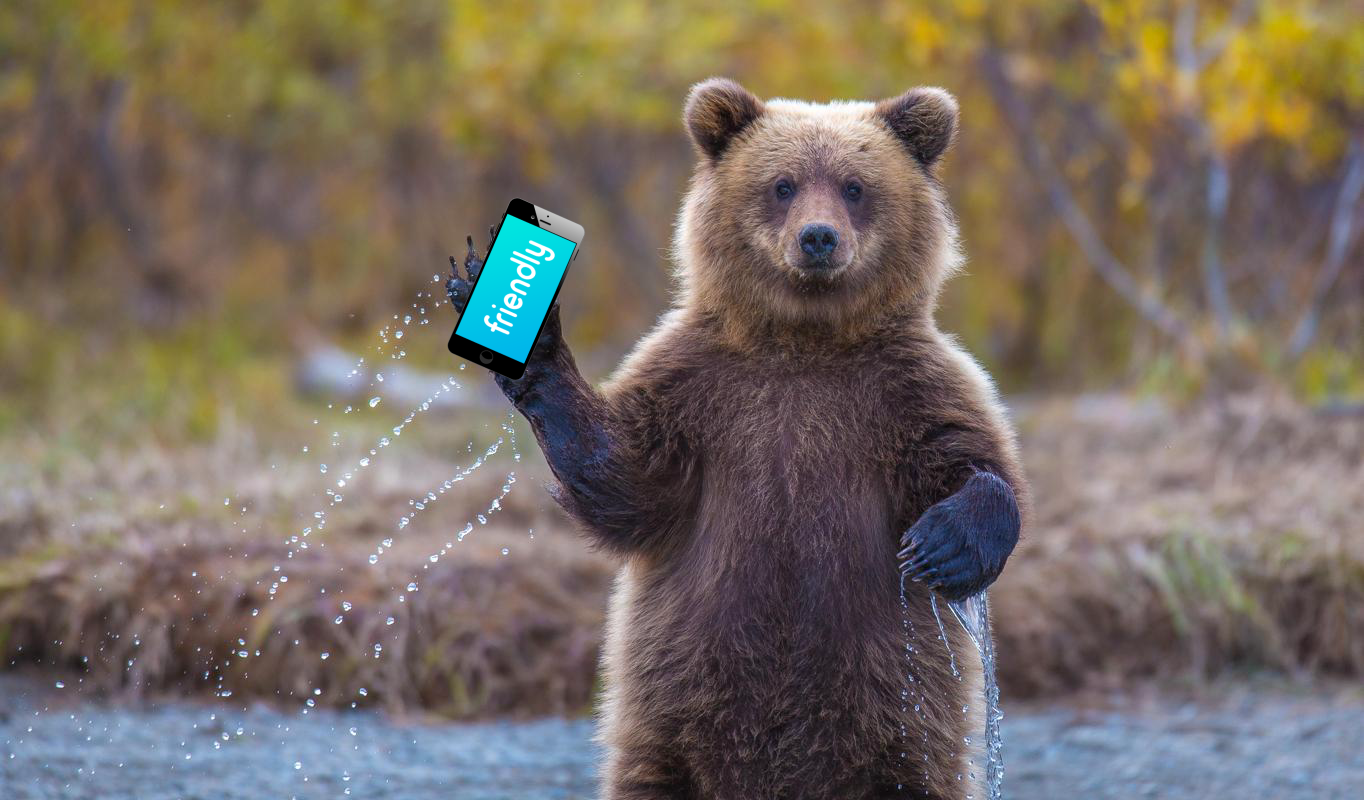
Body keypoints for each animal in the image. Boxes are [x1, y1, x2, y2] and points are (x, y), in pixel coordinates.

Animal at [447, 78, 1030, 800]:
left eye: (855, 185)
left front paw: (942, 545)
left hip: (901, 727)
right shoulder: (699, 390)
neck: (804, 340)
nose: (817, 238)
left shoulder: (905, 390)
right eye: (782, 184)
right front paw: (525, 328)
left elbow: (973, 459)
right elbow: (626, 480)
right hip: (669, 723)